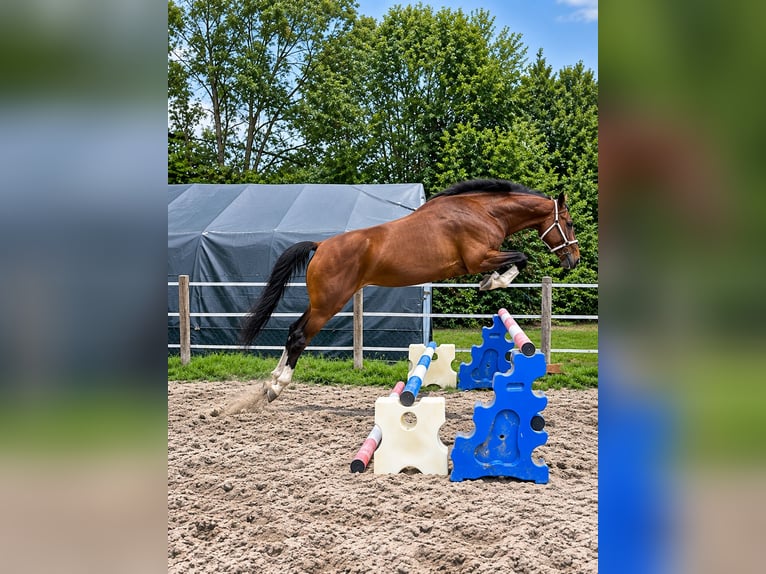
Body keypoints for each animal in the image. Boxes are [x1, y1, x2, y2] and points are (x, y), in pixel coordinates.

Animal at [240, 179, 581, 402]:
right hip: (329, 304)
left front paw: (491, 281)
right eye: (569, 223)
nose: (574, 260)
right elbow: (520, 258)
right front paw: (492, 282)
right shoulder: (479, 258)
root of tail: (321, 245)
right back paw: (277, 386)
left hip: (320, 302)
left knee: (292, 331)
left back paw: (270, 383)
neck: (482, 212)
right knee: (299, 336)